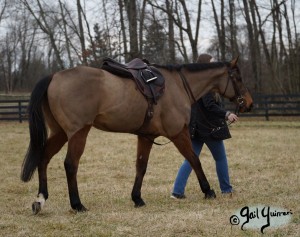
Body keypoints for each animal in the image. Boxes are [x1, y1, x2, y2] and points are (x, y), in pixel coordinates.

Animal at [19, 56, 252, 214]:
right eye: (239, 78)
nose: (248, 103)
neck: (177, 86)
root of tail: (54, 76)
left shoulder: (146, 136)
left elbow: (141, 166)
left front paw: (137, 198)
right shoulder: (178, 134)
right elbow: (194, 160)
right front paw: (208, 190)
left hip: (59, 133)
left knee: (43, 158)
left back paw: (41, 199)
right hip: (78, 133)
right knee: (70, 164)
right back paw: (77, 204)